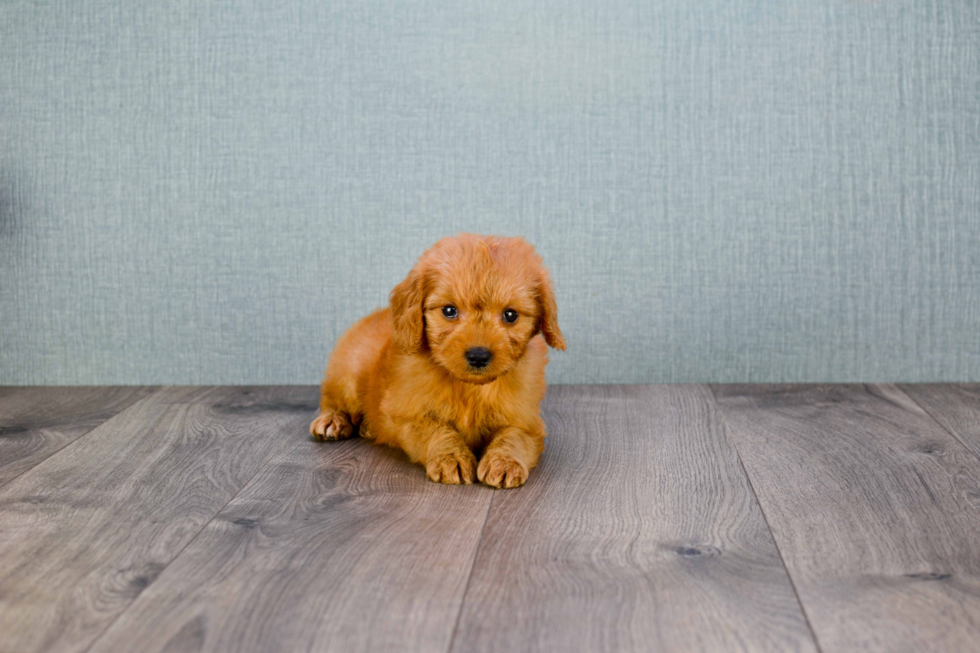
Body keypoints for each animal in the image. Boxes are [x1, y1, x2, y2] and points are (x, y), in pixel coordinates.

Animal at [306, 233, 568, 484]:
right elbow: (435, 429)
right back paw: (332, 420)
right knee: (331, 398)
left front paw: (504, 462)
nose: (478, 356)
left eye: (511, 315)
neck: (470, 389)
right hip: (347, 373)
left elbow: (513, 437)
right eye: (449, 310)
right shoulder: (408, 414)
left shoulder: (526, 421)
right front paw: (451, 457)